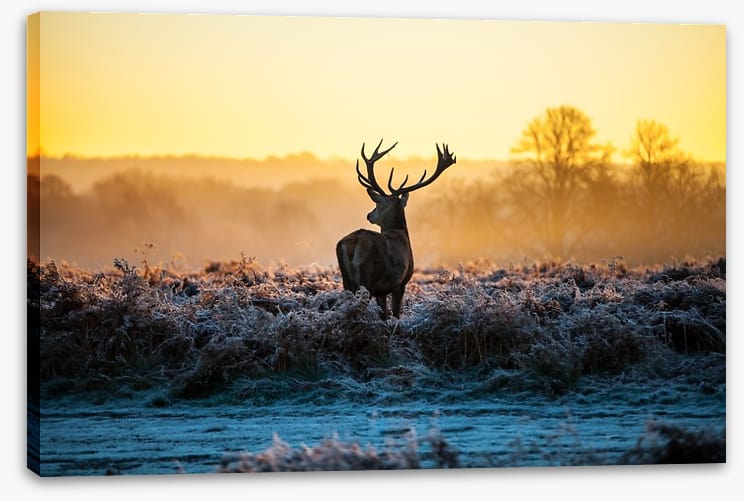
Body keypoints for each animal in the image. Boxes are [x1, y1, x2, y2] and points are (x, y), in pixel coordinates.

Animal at [336, 139, 456, 319]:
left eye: (377, 204)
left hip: (347, 280)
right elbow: (395, 314)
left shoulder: (382, 291)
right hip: (368, 279)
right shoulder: (400, 283)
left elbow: (384, 315)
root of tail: (353, 243)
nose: (369, 215)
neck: (400, 233)